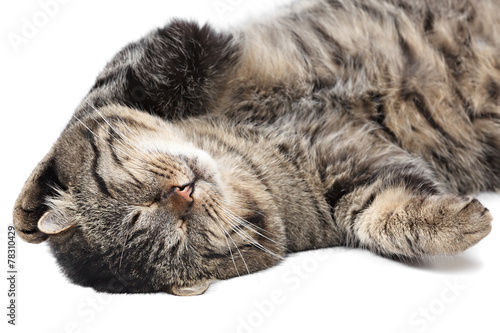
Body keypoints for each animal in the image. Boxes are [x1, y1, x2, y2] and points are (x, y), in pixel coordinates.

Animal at [13, 0, 498, 296]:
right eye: (182, 235)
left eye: (139, 204)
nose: (184, 193)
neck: (256, 144)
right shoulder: (356, 172)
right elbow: (383, 215)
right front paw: (460, 222)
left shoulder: (187, 43)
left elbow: (100, 101)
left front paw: (31, 206)